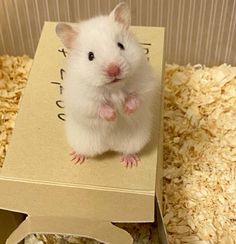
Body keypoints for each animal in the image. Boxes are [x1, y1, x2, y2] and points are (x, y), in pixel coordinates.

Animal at [55, 1, 157, 168]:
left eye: (121, 45)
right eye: (90, 56)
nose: (113, 70)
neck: (113, 88)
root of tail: (109, 146)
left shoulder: (145, 85)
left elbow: (136, 98)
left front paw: (126, 110)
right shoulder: (82, 99)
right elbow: (98, 107)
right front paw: (113, 115)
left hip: (136, 140)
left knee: (128, 151)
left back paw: (130, 162)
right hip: (81, 140)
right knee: (84, 151)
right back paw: (76, 158)